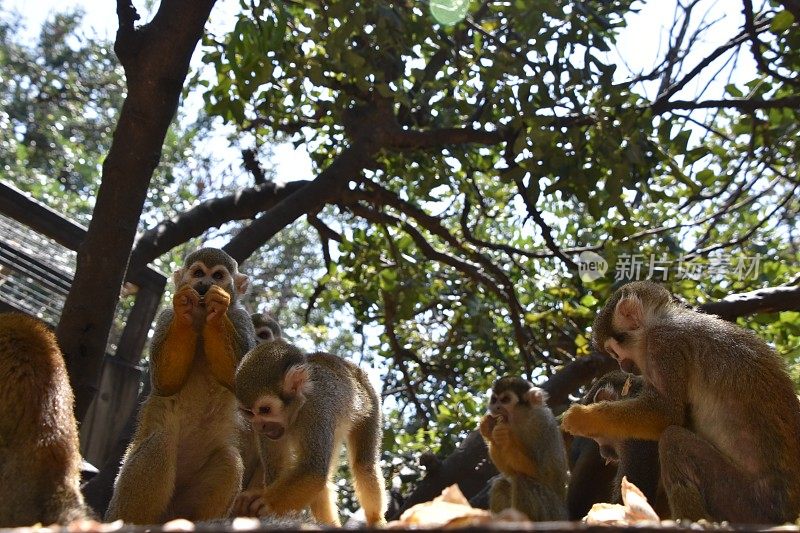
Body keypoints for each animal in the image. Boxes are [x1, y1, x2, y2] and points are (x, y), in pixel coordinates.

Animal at [106, 249, 256, 524]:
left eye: (218, 276)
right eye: (197, 273)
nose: (204, 285)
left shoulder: (242, 318)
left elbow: (240, 382)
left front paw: (218, 307)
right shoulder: (166, 316)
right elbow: (165, 382)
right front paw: (185, 305)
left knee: (230, 460)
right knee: (159, 443)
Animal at [233, 338, 386, 524]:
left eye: (265, 410)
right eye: (249, 413)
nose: (259, 427)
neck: (296, 410)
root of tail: (350, 366)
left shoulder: (316, 408)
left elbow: (314, 470)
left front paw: (265, 502)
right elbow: (281, 471)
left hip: (370, 402)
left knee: (364, 465)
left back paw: (376, 518)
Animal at [476, 376, 568, 520]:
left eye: (505, 400)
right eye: (494, 399)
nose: (495, 407)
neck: (521, 419)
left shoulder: (541, 423)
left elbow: (545, 473)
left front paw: (507, 438)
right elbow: (509, 471)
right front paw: (489, 429)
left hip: (552, 514)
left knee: (522, 480)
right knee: (501, 484)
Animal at [560, 280, 800, 520]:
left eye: (615, 352)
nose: (623, 366)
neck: (662, 320)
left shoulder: (663, 343)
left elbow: (666, 413)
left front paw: (582, 418)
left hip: (748, 504)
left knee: (673, 440)